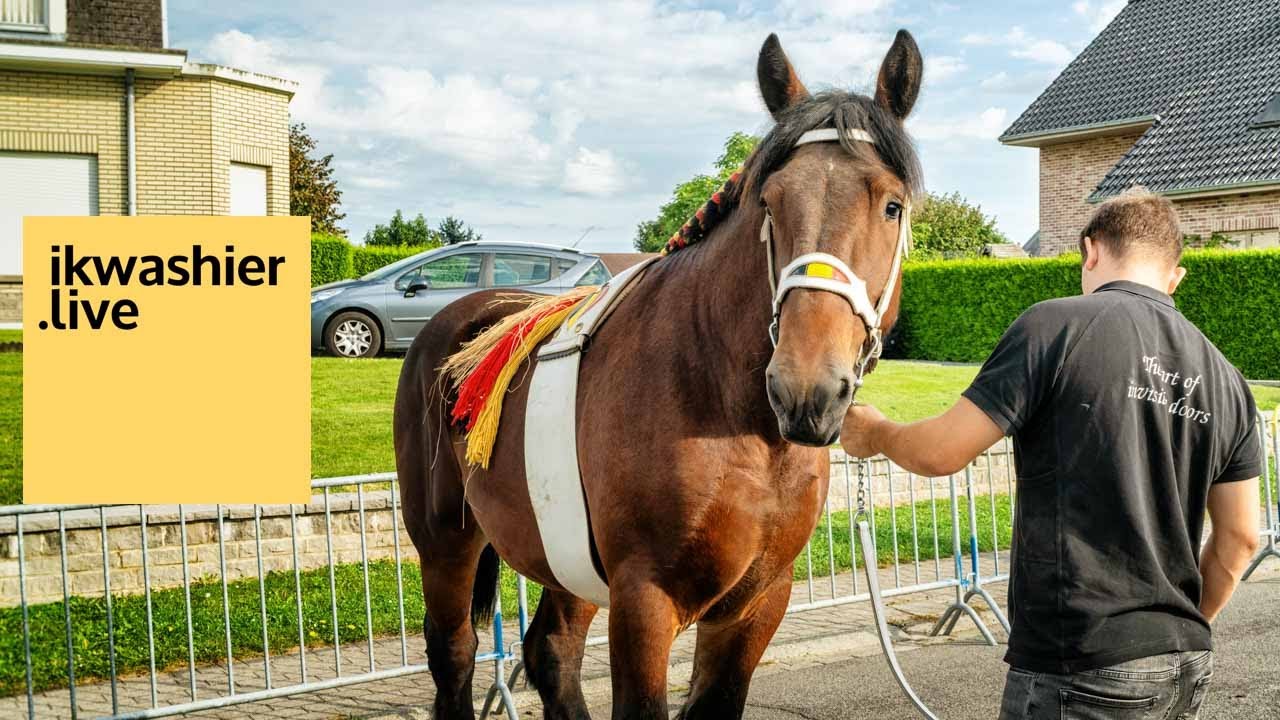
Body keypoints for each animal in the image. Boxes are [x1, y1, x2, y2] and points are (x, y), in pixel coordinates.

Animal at [395, 30, 924, 720]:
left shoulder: (756, 604)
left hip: (566, 557)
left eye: (891, 205)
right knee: (455, 655)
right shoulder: (644, 600)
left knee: (552, 650)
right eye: (770, 202)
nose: (805, 390)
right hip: (445, 544)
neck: (733, 419)